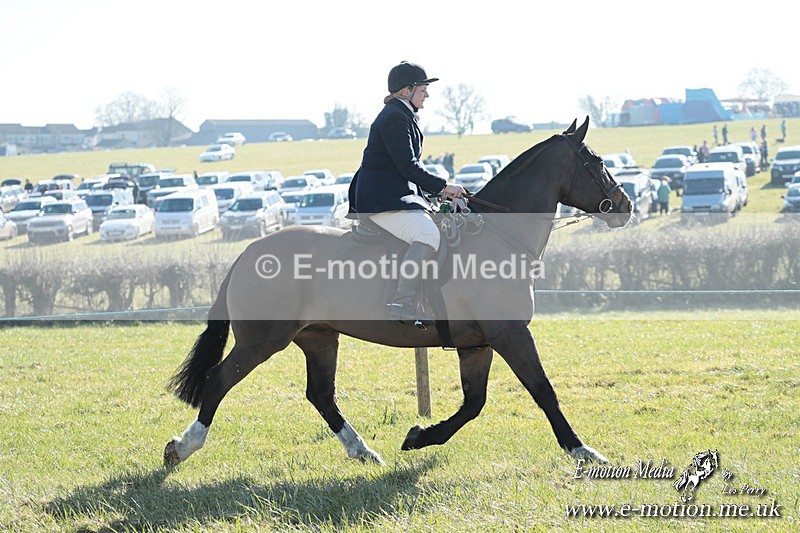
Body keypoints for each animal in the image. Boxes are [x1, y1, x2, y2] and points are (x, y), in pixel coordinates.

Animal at [163, 117, 633, 467]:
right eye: (596, 161)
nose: (625, 206)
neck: (500, 236)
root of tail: (246, 254)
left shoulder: (477, 343)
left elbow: (473, 403)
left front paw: (419, 436)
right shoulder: (511, 333)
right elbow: (542, 390)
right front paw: (583, 451)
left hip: (318, 336)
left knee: (320, 394)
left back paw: (362, 450)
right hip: (264, 339)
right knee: (219, 380)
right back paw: (182, 448)